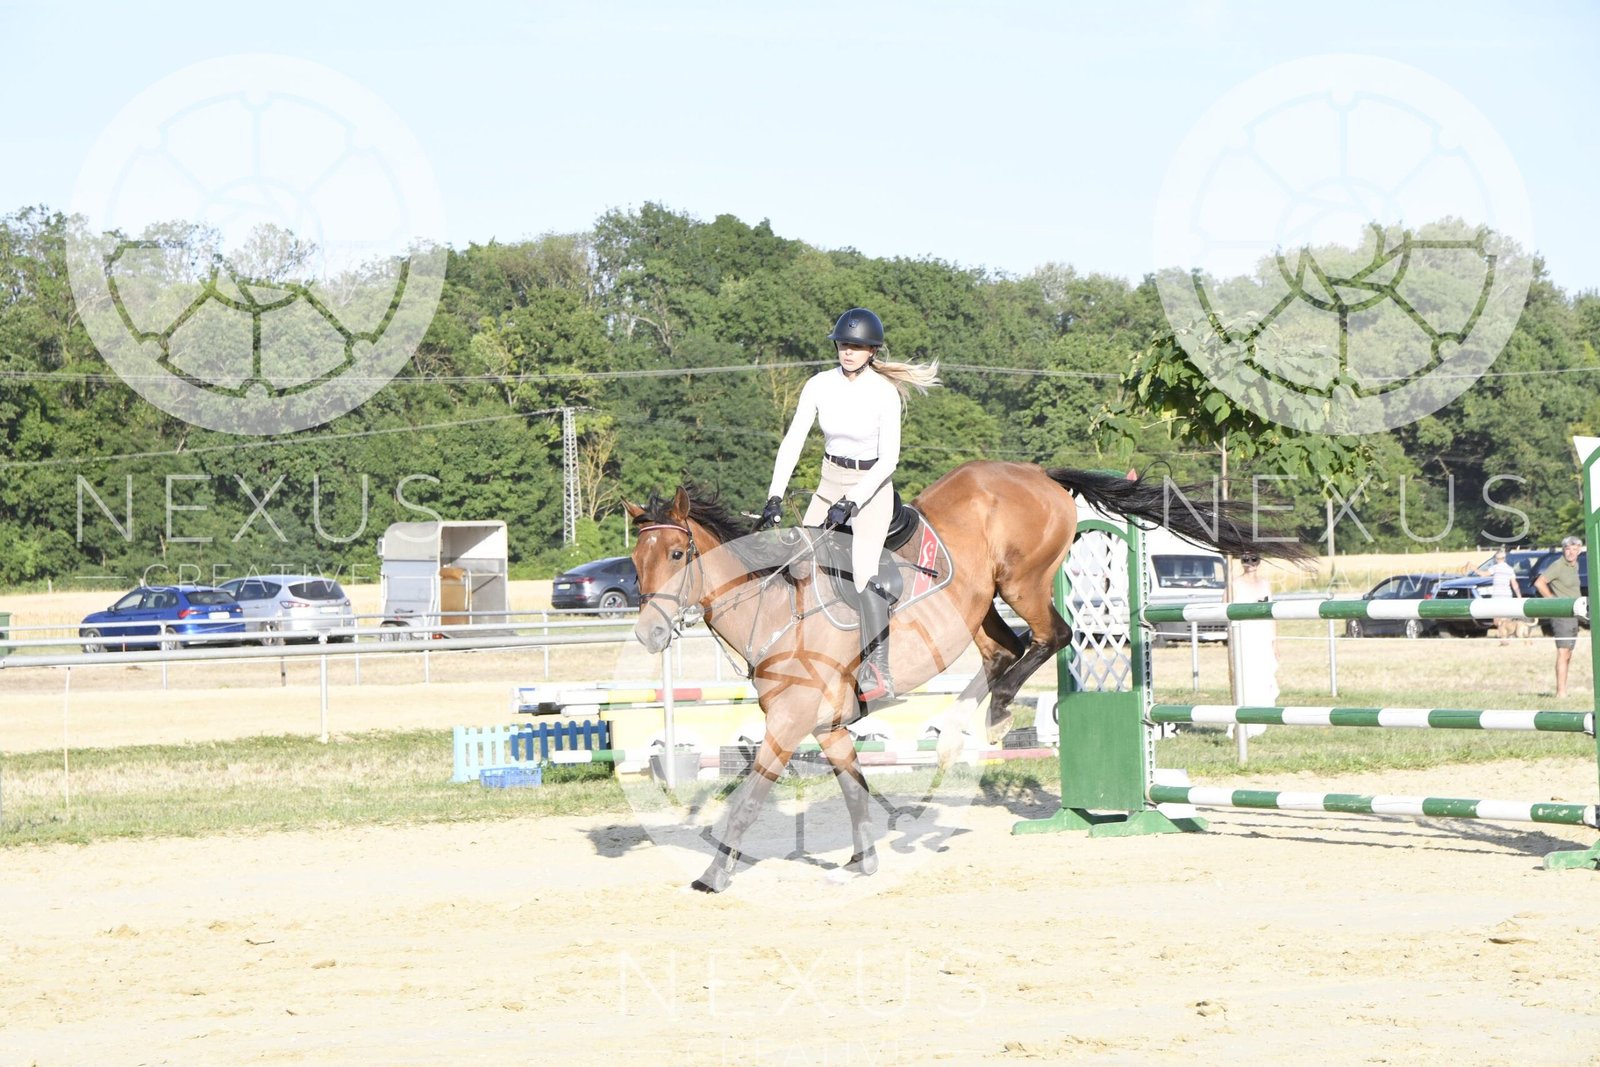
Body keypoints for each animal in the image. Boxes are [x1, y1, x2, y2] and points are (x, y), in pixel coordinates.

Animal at [625, 460, 1303, 893]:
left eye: (680, 554)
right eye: (636, 561)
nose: (649, 636)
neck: (773, 607)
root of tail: (1036, 473)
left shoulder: (790, 726)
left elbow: (747, 801)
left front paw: (714, 874)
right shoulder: (828, 727)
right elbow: (854, 789)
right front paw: (866, 859)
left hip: (1021, 581)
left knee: (1048, 639)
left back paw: (988, 717)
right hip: (980, 608)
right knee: (1005, 652)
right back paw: (958, 729)